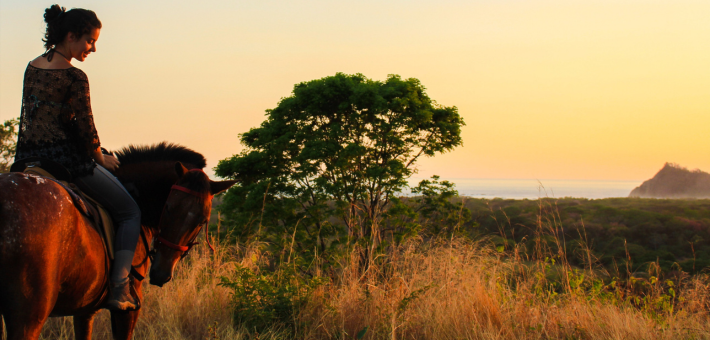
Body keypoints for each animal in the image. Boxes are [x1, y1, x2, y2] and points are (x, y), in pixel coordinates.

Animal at [0, 142, 236, 338]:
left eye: (201, 221)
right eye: (168, 208)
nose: (161, 273)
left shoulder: (85, 309)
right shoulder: (127, 310)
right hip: (28, 317)